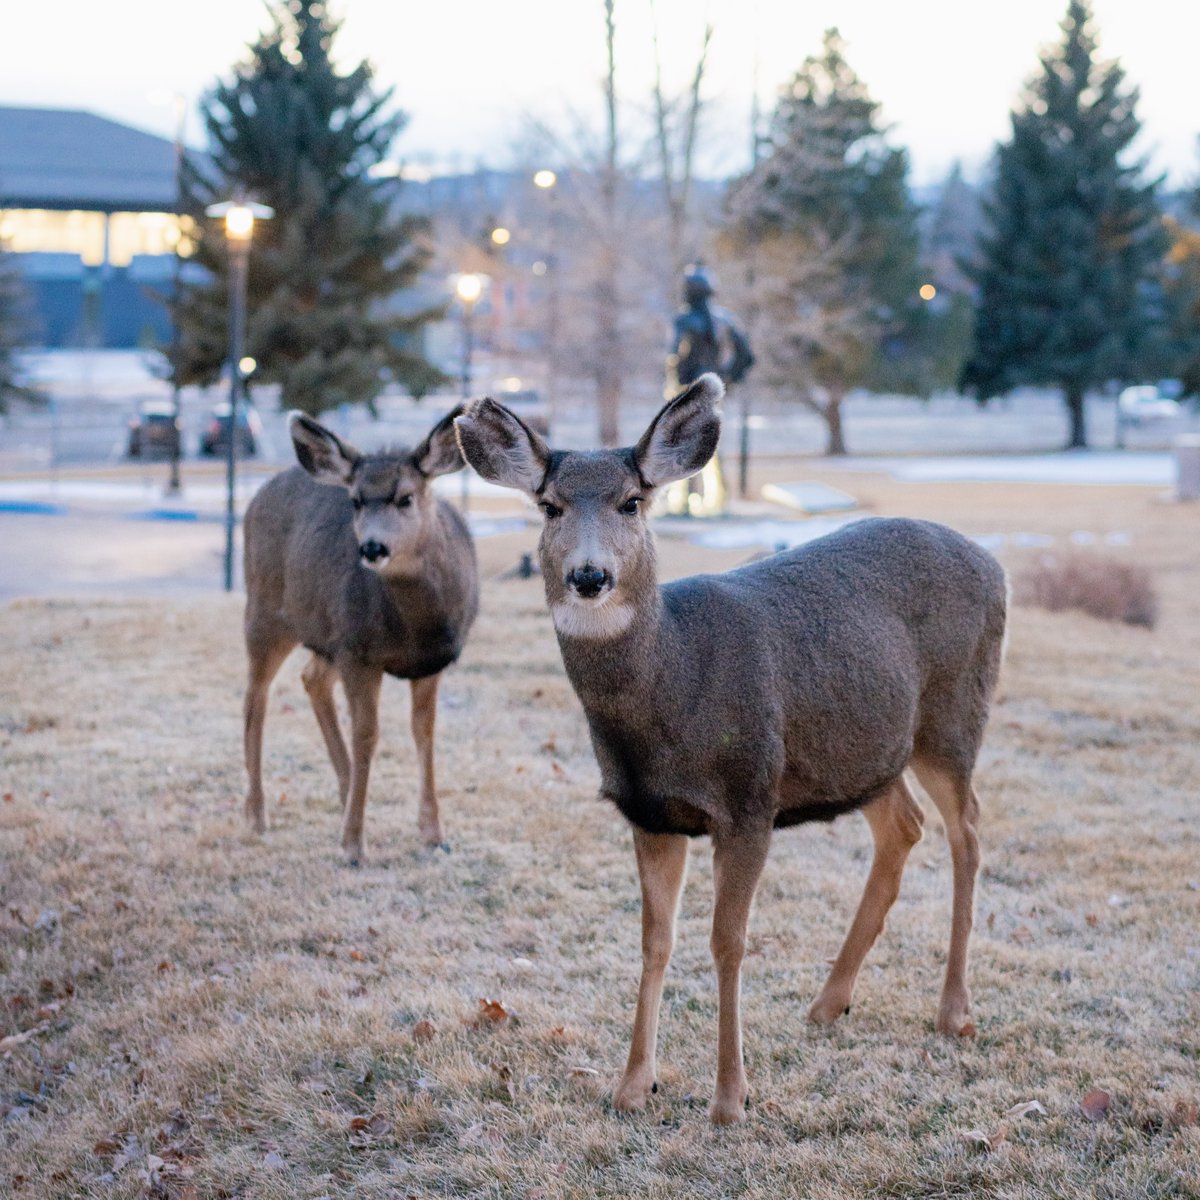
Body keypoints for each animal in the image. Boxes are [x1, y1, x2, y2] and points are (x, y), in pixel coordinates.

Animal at [242, 410, 477, 864]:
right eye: (355, 501)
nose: (372, 547)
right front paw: (353, 844)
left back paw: (344, 789)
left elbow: (425, 733)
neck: (415, 628)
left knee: (311, 678)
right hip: (264, 610)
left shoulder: (432, 660)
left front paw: (435, 833)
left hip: (326, 635)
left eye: (406, 497)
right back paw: (257, 814)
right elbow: (367, 735)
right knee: (255, 698)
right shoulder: (360, 652)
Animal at [453, 376, 1008, 1123]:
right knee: (905, 825)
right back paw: (829, 1003)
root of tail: (996, 563)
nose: (589, 576)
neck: (673, 686)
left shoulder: (749, 796)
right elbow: (654, 940)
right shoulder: (650, 813)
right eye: (549, 506)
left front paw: (729, 1099)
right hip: (862, 747)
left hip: (952, 715)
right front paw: (632, 1086)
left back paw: (952, 1011)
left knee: (968, 830)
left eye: (632, 501)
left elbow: (727, 941)